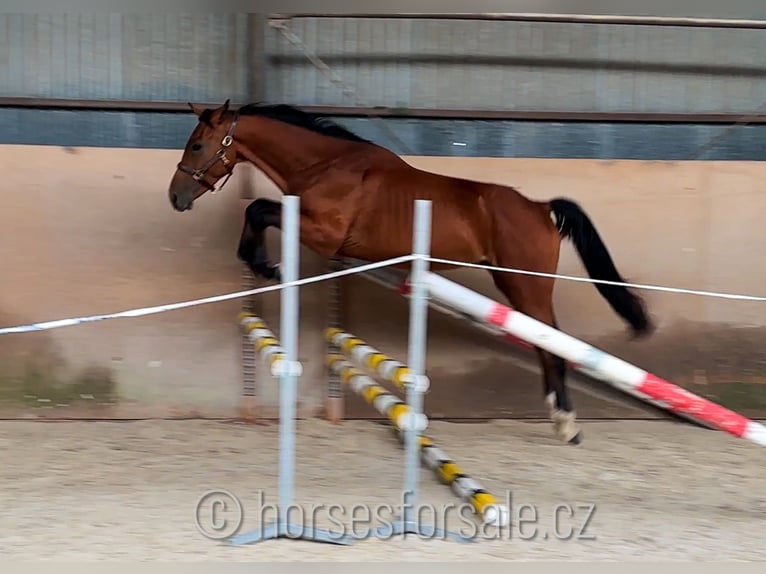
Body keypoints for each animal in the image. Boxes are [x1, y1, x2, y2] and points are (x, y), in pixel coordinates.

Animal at [166, 101, 656, 448]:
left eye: (197, 145)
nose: (176, 197)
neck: (327, 166)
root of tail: (539, 208)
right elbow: (258, 210)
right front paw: (261, 261)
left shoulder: (324, 236)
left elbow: (260, 208)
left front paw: (265, 263)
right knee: (544, 345)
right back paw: (561, 420)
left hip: (527, 286)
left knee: (551, 345)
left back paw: (566, 424)